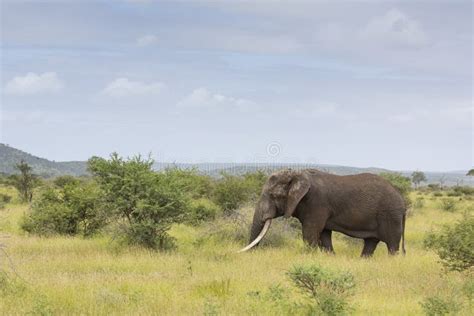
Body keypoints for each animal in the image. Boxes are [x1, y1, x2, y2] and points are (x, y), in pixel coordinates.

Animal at [241, 169, 408, 256]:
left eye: (274, 196)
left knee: (392, 245)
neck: (298, 173)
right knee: (370, 243)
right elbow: (324, 235)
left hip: (390, 215)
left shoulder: (316, 203)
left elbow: (310, 233)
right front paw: (330, 257)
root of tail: (402, 200)